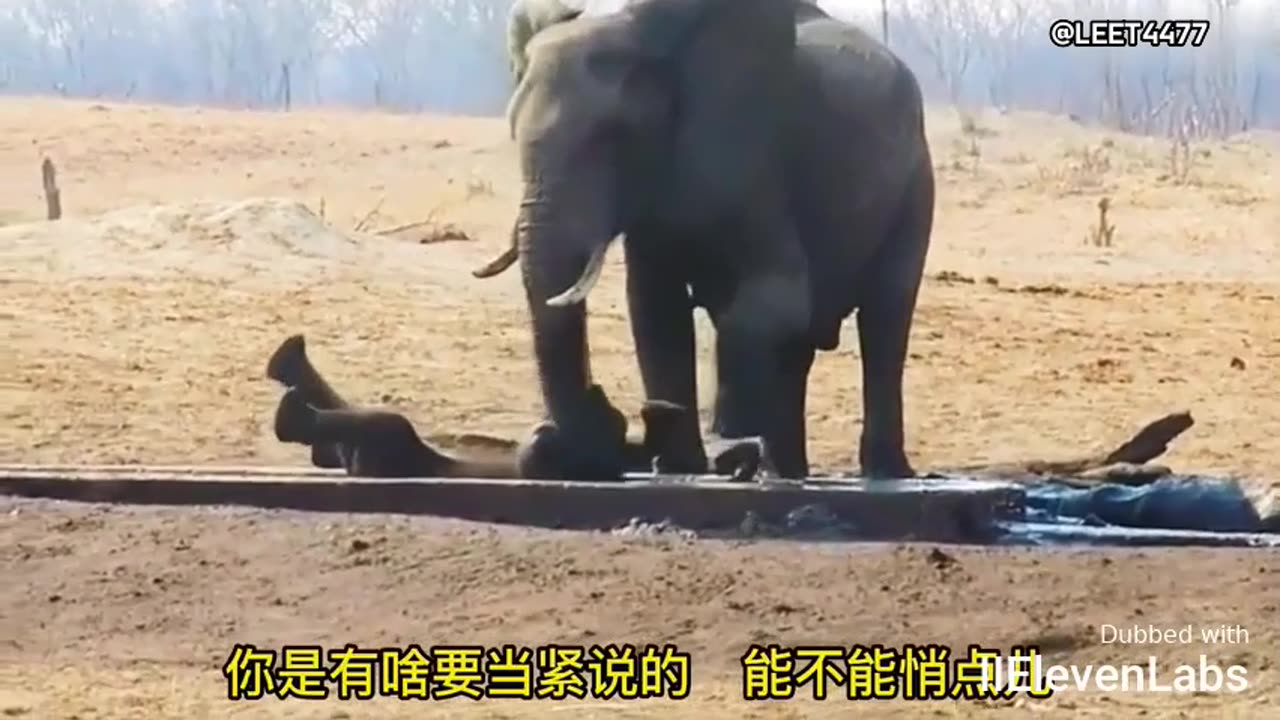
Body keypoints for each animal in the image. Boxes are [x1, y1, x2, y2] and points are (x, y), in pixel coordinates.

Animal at [483, 0, 936, 481]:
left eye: (614, 136)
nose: (609, 421)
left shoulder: (753, 162)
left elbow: (777, 301)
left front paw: (728, 451)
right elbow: (655, 311)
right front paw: (679, 464)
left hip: (916, 184)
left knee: (885, 320)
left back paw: (882, 473)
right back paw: (787, 473)